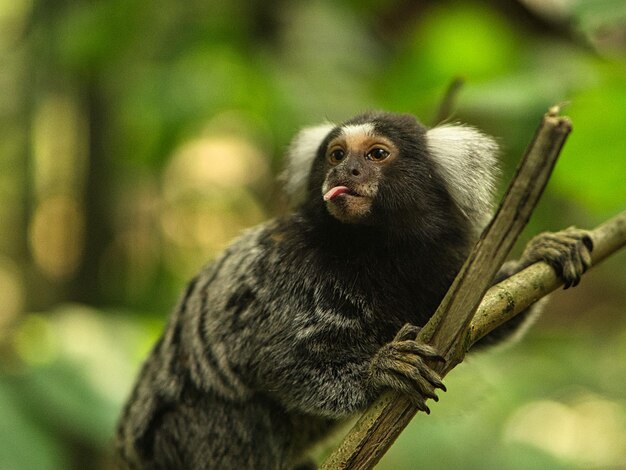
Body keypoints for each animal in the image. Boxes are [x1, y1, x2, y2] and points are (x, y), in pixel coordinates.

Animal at [116, 110, 588, 466]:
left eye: (377, 154)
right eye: (336, 155)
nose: (346, 170)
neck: (376, 251)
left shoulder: (443, 269)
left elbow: (479, 325)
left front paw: (539, 253)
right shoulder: (284, 270)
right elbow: (272, 359)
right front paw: (379, 369)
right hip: (181, 435)